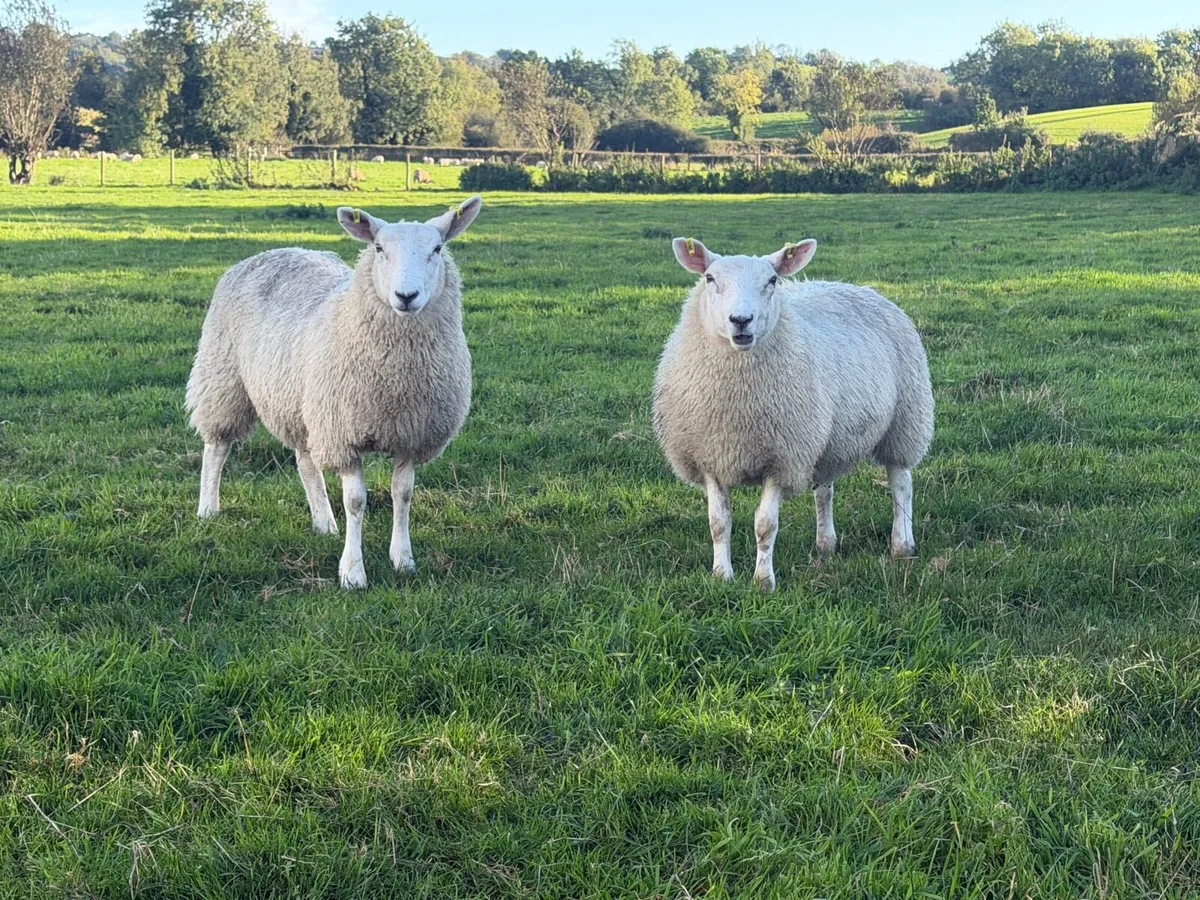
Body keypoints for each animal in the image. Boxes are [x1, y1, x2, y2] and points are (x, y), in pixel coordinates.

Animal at [186, 196, 483, 589]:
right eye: (379, 248)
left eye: (436, 249)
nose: (406, 296)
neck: (398, 377)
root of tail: (280, 248)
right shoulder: (343, 434)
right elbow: (356, 501)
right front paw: (353, 572)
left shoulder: (411, 433)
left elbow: (403, 494)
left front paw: (402, 559)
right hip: (222, 377)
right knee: (217, 446)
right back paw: (208, 508)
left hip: (298, 401)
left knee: (305, 461)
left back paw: (324, 522)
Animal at [651, 237, 934, 592]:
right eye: (710, 279)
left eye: (772, 281)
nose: (741, 320)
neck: (737, 402)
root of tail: (855, 286)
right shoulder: (711, 460)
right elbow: (718, 523)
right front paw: (722, 575)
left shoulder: (782, 460)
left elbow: (765, 525)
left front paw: (763, 581)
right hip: (826, 442)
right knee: (824, 491)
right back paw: (826, 544)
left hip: (906, 420)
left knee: (901, 484)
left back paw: (902, 545)